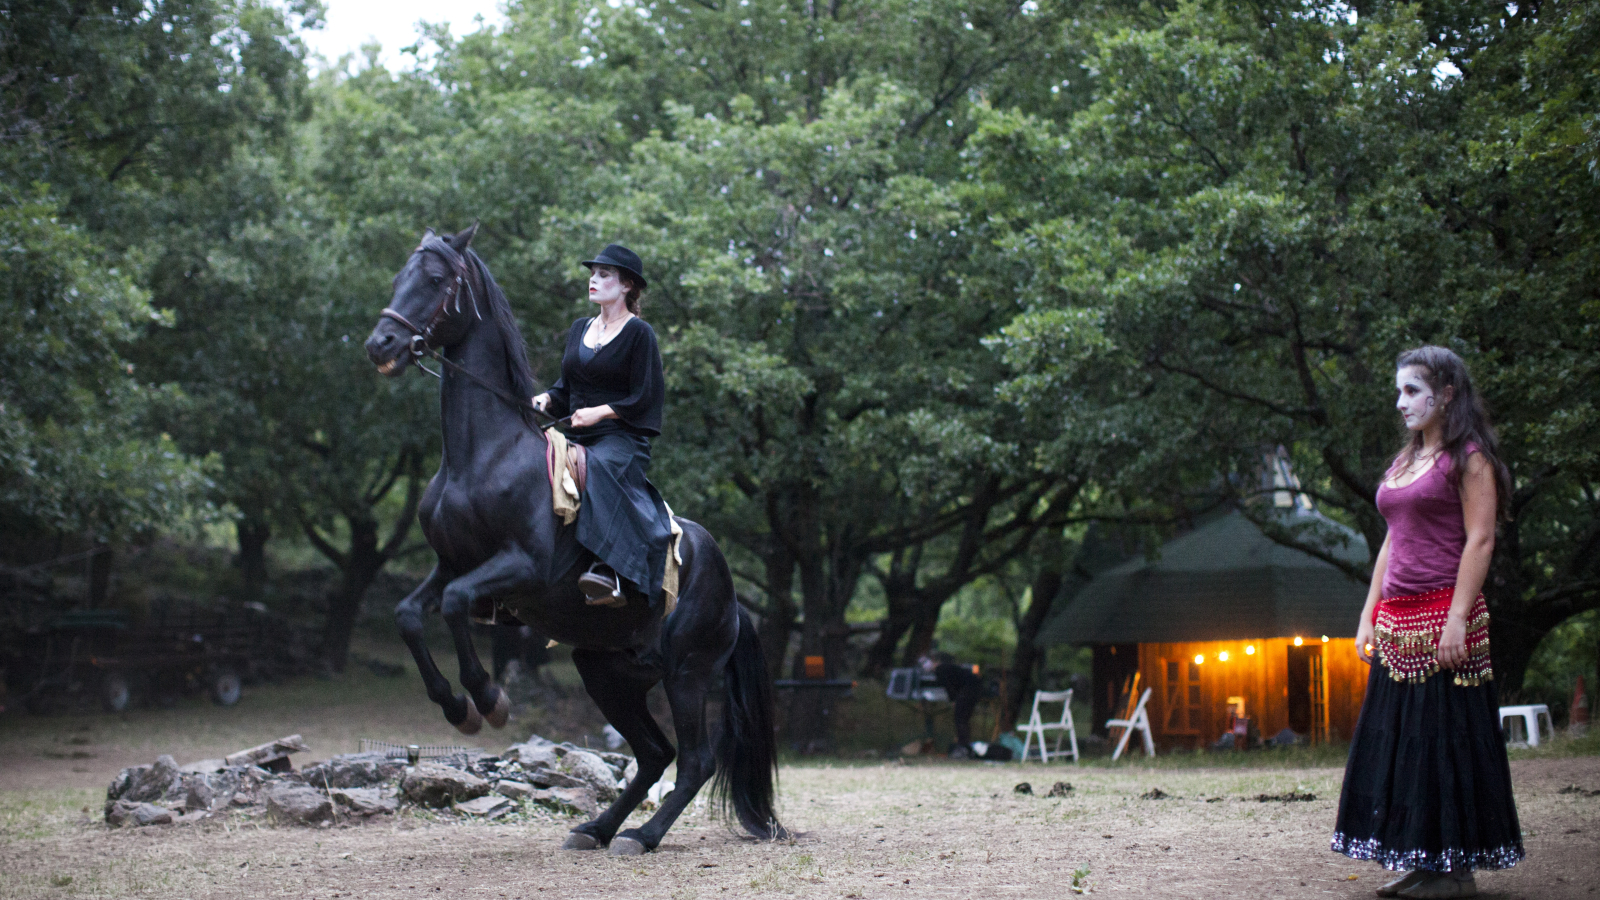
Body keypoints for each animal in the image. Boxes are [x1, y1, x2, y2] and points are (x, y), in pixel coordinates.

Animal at [364, 225, 787, 851]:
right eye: (399, 276)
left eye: (437, 280)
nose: (381, 344)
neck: (482, 458)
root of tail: (731, 593)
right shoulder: (451, 563)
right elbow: (410, 614)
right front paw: (457, 707)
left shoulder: (522, 568)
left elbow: (457, 604)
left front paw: (487, 700)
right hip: (607, 672)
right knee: (654, 754)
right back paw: (596, 828)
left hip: (687, 674)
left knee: (695, 761)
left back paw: (642, 835)